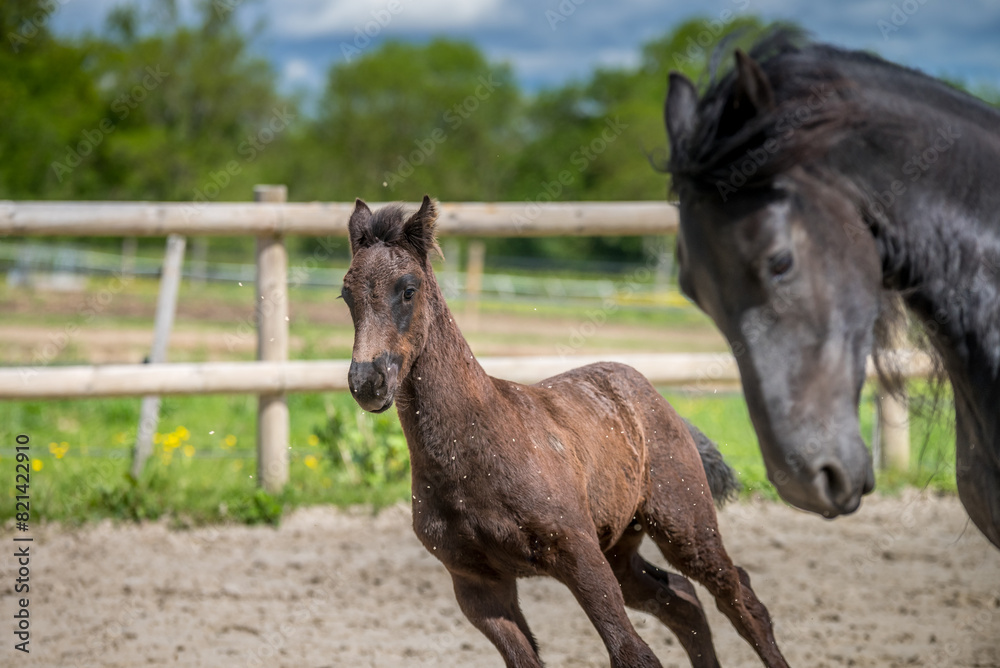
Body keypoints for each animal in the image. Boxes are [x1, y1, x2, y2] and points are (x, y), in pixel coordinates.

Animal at [342, 196, 789, 668]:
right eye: (347, 294)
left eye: (408, 289)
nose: (368, 382)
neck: (472, 451)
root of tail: (656, 397)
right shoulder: (476, 586)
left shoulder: (580, 556)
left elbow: (633, 653)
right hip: (620, 550)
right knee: (683, 602)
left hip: (684, 525)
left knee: (740, 600)